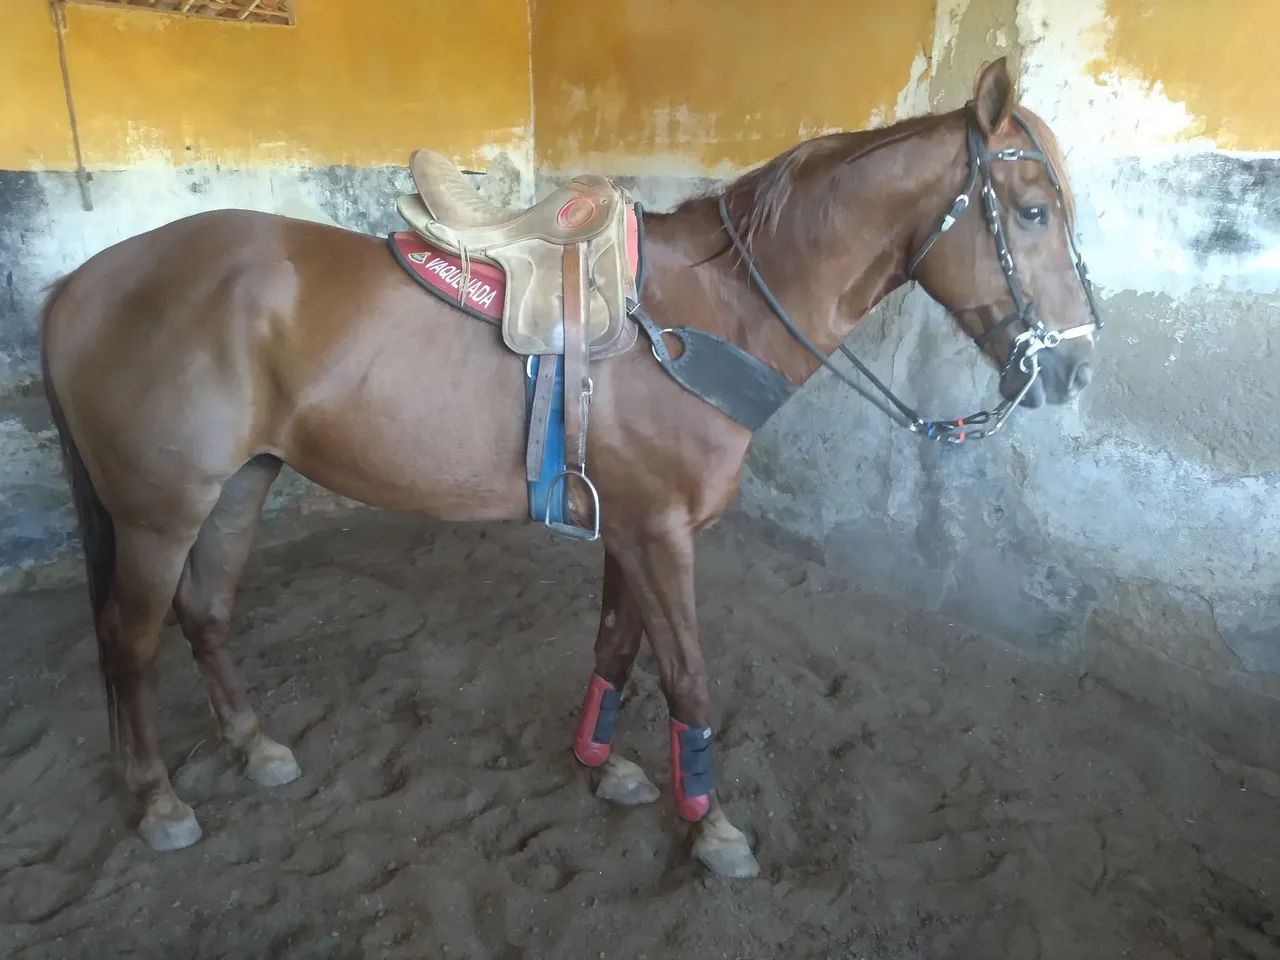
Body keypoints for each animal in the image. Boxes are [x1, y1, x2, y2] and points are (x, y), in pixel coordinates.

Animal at [40, 58, 1100, 878]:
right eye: (1031, 212)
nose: (1074, 369)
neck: (710, 312)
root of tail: (79, 285)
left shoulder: (630, 525)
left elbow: (617, 648)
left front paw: (603, 764)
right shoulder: (661, 534)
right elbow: (690, 679)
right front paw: (711, 826)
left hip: (240, 486)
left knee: (206, 614)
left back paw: (254, 746)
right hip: (157, 514)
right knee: (129, 642)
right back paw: (158, 800)